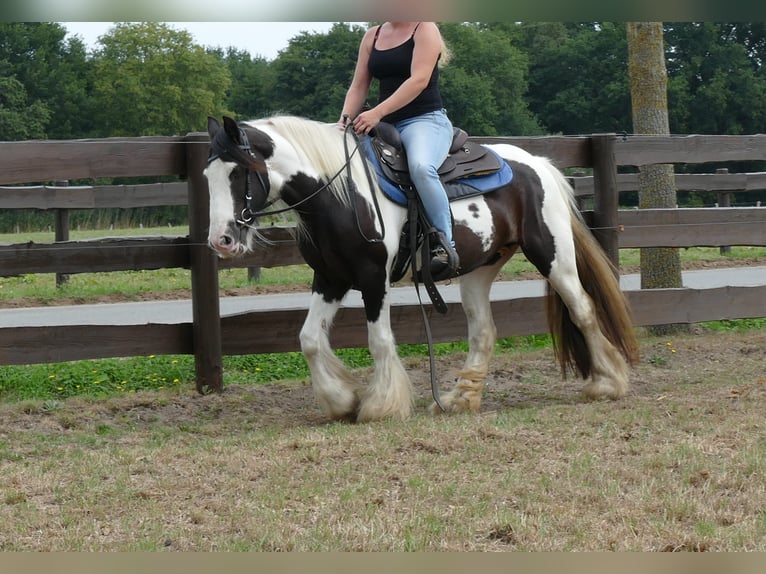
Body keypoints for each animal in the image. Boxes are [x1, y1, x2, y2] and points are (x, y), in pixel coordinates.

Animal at [204, 115, 640, 426]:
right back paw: (460, 399)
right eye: (207, 176)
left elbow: (379, 340)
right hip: (479, 270)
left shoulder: (372, 279)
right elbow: (309, 338)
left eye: (238, 172)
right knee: (483, 331)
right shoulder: (330, 279)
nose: (221, 240)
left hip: (552, 256)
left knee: (583, 309)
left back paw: (607, 383)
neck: (338, 195)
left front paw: (381, 405)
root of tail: (538, 164)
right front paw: (341, 400)